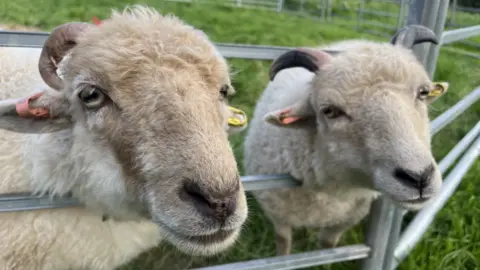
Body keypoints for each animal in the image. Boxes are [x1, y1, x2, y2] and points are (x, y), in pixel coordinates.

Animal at [244, 24, 450, 255]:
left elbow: (328, 244)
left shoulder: (348, 218)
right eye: (330, 111)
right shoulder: (277, 213)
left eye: (423, 93)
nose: (419, 178)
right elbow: (283, 243)